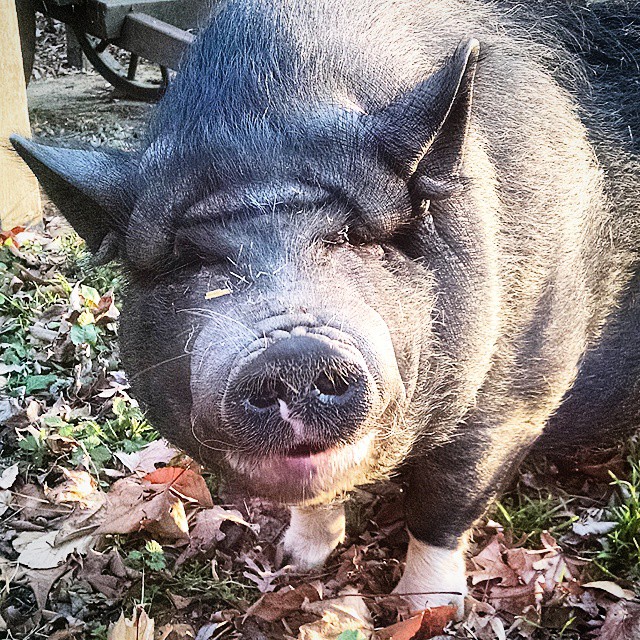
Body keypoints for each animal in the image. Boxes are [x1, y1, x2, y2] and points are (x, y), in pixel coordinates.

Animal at [11, 0, 640, 616]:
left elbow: (446, 503)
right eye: (192, 257)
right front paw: (294, 561)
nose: (292, 353)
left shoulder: (521, 392)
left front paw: (427, 612)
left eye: (352, 237)